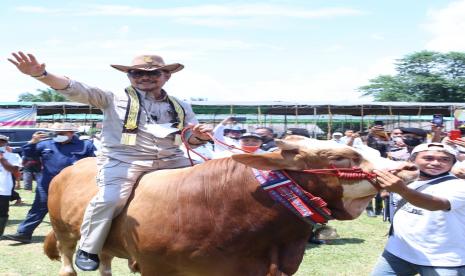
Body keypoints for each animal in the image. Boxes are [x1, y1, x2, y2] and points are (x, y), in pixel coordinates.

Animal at [43, 137, 416, 274]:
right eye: (340, 157)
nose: (409, 166)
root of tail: (68, 168)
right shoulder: (155, 267)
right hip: (64, 231)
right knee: (69, 257)